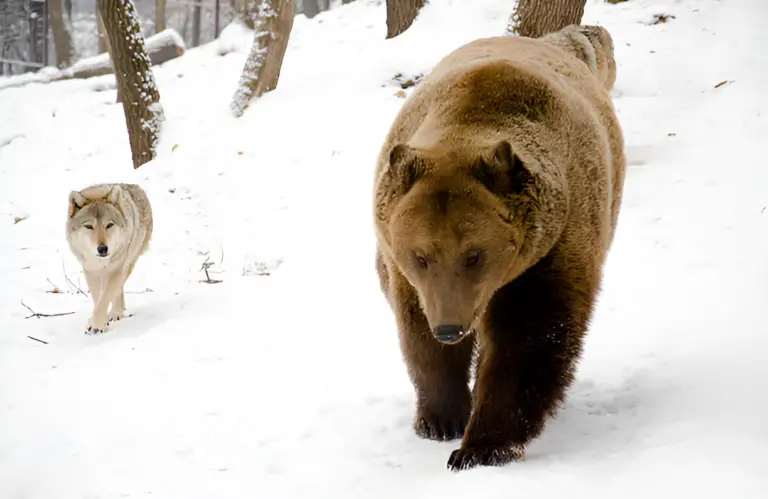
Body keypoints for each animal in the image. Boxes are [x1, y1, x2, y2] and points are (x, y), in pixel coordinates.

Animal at [376, 26, 628, 472]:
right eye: (421, 256)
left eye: (475, 255)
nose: (450, 328)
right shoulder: (402, 268)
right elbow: (418, 335)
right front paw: (442, 418)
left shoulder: (551, 247)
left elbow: (529, 338)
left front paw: (479, 446)